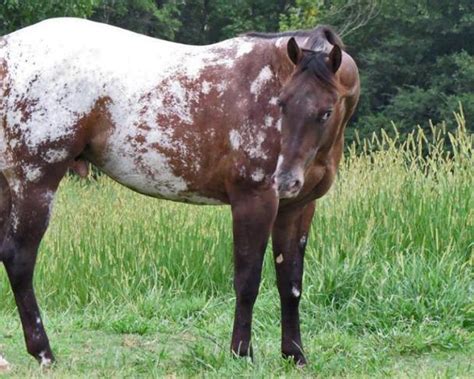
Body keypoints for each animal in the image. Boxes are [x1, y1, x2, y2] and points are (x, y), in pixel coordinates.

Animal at [0, 17, 360, 368]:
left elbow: (291, 282)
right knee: (19, 258)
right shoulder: (253, 200)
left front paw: (295, 354)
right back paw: (43, 352)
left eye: (326, 111)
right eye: (282, 104)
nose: (285, 179)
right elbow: (247, 280)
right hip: (35, 182)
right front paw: (241, 353)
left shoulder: (296, 207)